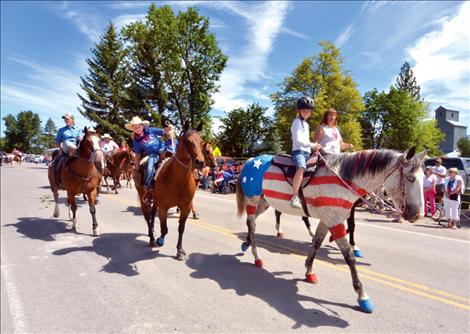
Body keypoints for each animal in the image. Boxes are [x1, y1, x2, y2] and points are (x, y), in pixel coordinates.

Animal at [133, 121, 205, 260]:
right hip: (144, 199)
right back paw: (152, 238)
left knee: (151, 215)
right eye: (187, 141)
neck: (177, 180)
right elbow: (164, 229)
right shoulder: (164, 207)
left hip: (155, 200)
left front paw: (180, 251)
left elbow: (181, 228)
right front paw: (160, 240)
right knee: (147, 216)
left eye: (201, 141)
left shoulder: (186, 207)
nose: (200, 162)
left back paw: (152, 232)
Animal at [237, 148, 424, 314]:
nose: (418, 215)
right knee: (252, 224)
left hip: (264, 201)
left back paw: (246, 244)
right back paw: (257, 257)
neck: (344, 180)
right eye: (411, 178)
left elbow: (317, 242)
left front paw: (309, 271)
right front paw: (362, 296)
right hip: (253, 199)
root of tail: (251, 160)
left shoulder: (327, 220)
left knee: (251, 223)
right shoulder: (335, 220)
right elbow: (349, 257)